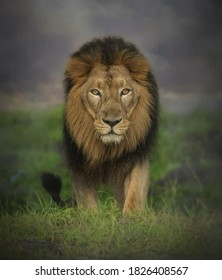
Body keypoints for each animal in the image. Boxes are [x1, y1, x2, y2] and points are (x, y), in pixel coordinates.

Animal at [41, 36, 159, 213]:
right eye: (95, 92)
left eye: (125, 91)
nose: (112, 122)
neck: (107, 148)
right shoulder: (80, 162)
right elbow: (87, 202)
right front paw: (92, 216)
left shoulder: (137, 154)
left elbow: (134, 194)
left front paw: (131, 216)